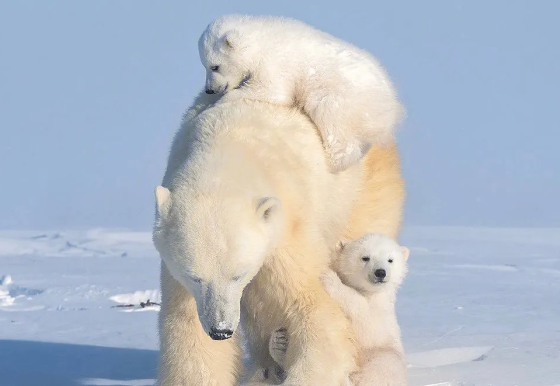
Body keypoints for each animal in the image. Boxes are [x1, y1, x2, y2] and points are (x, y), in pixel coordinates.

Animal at [153, 89, 404, 382]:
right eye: (194, 276)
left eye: (238, 274)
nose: (221, 330)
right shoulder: (177, 275)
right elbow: (189, 331)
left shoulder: (285, 232)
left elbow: (314, 311)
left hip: (359, 193)